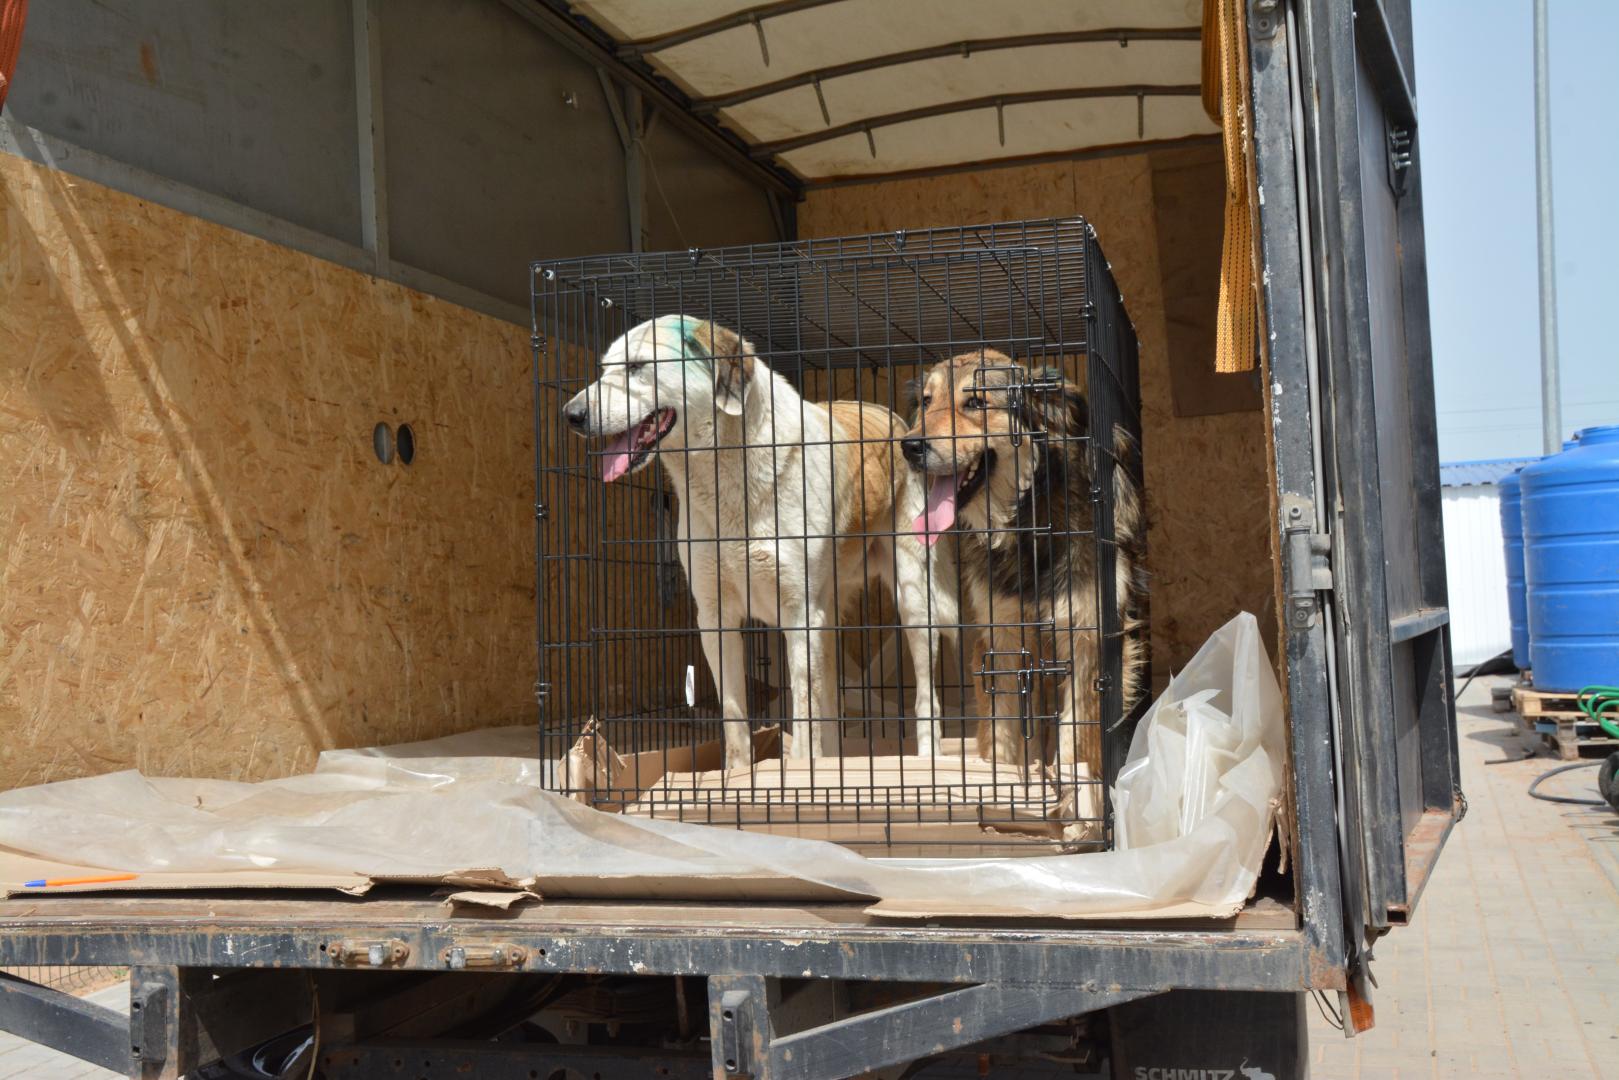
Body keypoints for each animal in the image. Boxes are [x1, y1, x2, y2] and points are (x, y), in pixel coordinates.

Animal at [563, 312, 951, 767]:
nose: (571, 414)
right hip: (830, 615)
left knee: (926, 697)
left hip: (914, 600)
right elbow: (735, 716)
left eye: (637, 366)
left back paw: (928, 760)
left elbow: (803, 714)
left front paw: (800, 773)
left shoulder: (800, 615)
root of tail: (896, 420)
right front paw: (738, 776)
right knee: (832, 702)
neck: (723, 474)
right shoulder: (715, 617)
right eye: (604, 368)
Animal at [900, 351, 1152, 816]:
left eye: (976, 403)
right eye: (926, 402)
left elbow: (1075, 740)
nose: (909, 446)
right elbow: (1001, 735)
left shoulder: (1086, 638)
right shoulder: (1000, 636)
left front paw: (1073, 800)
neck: (1028, 519)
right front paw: (1002, 786)